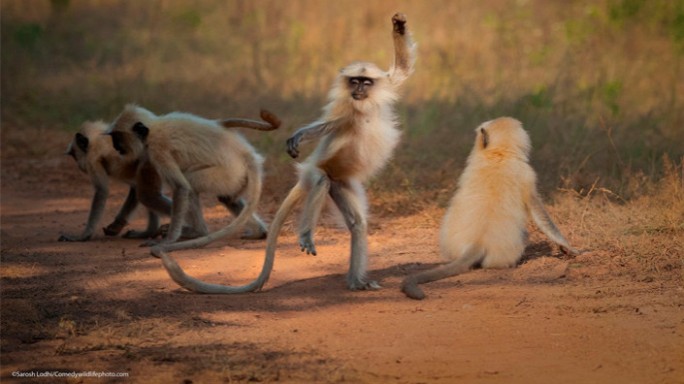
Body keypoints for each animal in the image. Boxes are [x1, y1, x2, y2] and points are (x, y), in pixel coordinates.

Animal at [105, 106, 280, 252]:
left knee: (191, 185)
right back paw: (259, 233)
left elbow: (181, 187)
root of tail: (245, 153)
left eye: (117, 137)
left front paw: (167, 241)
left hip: (226, 173)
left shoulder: (157, 148)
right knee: (227, 198)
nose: (115, 147)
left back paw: (198, 232)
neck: (153, 128)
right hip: (237, 176)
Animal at [160, 12, 416, 294]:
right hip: (319, 172)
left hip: (341, 183)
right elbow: (325, 126)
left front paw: (399, 25)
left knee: (358, 225)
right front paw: (299, 136)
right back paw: (306, 235)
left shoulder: (379, 89)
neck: (364, 105)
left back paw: (356, 282)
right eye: (355, 82)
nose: (358, 90)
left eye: (366, 82)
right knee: (320, 181)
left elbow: (402, 70)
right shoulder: (344, 110)